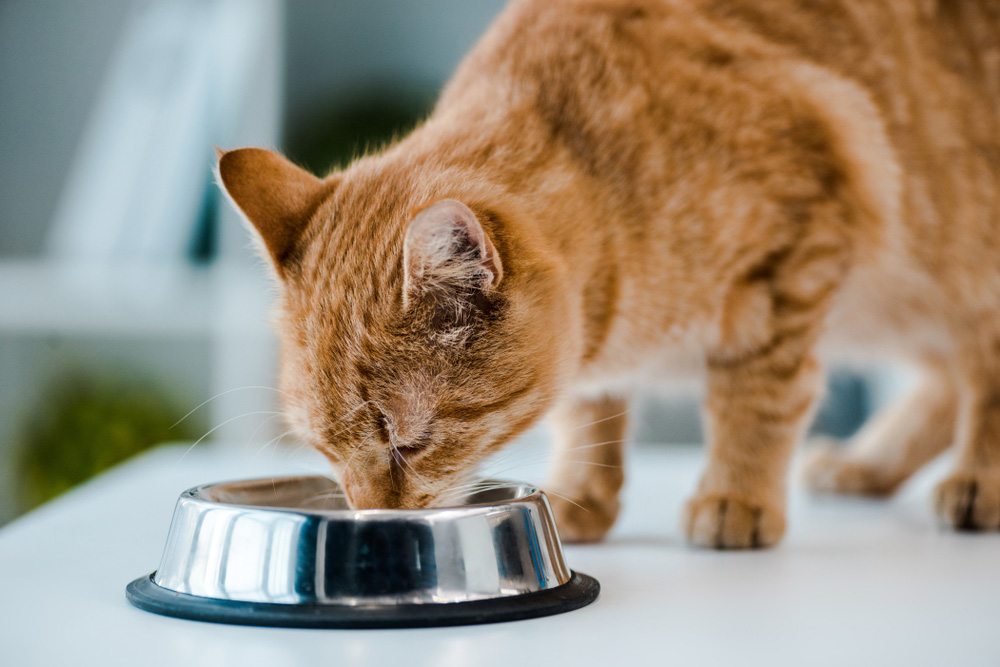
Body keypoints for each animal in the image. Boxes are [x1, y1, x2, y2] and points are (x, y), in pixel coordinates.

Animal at [219, 0, 1000, 548]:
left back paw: (976, 481)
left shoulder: (796, 256)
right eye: (323, 449)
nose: (373, 518)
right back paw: (867, 464)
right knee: (944, 380)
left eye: (406, 443)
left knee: (978, 371)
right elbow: (586, 409)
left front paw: (737, 494)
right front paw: (580, 492)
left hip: (951, 269)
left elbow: (756, 399)